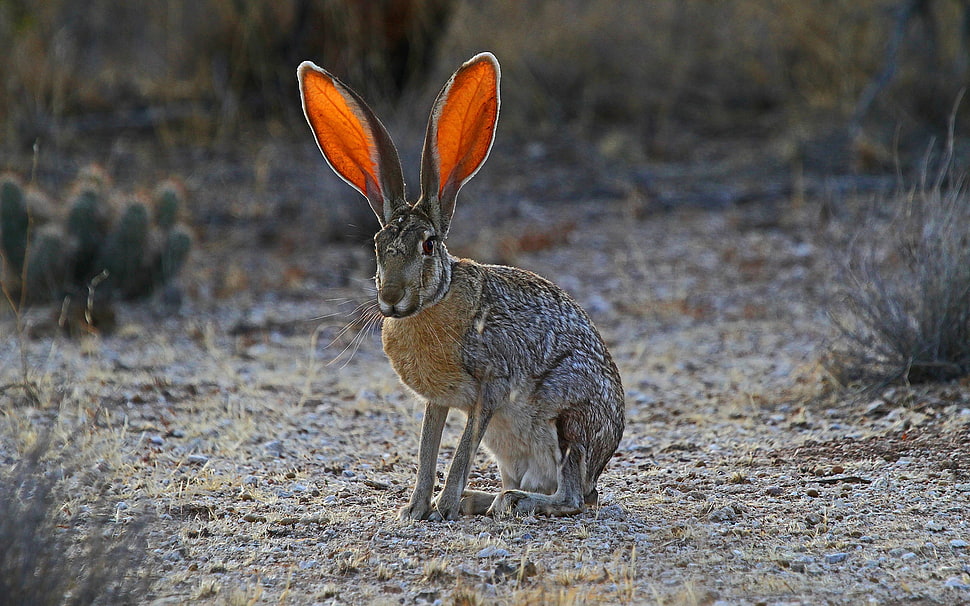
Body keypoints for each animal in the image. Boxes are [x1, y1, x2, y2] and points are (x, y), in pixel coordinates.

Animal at [298, 52, 624, 520]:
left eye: (429, 245)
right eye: (376, 245)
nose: (390, 298)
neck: (433, 302)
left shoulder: (492, 385)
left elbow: (460, 450)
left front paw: (445, 505)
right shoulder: (437, 400)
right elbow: (427, 448)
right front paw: (416, 509)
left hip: (570, 419)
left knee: (573, 497)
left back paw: (513, 501)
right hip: (511, 449)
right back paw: (483, 500)